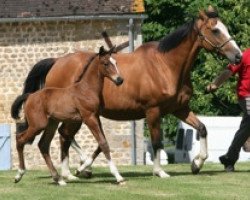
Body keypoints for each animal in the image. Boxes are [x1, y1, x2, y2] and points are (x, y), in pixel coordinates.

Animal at [10, 46, 124, 185]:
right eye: (106, 63)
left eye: (116, 62)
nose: (119, 80)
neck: (86, 90)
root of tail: (30, 96)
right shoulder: (89, 118)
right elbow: (103, 143)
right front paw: (118, 177)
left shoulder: (96, 117)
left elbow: (103, 142)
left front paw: (83, 169)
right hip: (38, 125)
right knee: (20, 139)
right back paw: (19, 174)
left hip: (51, 124)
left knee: (43, 145)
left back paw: (58, 179)